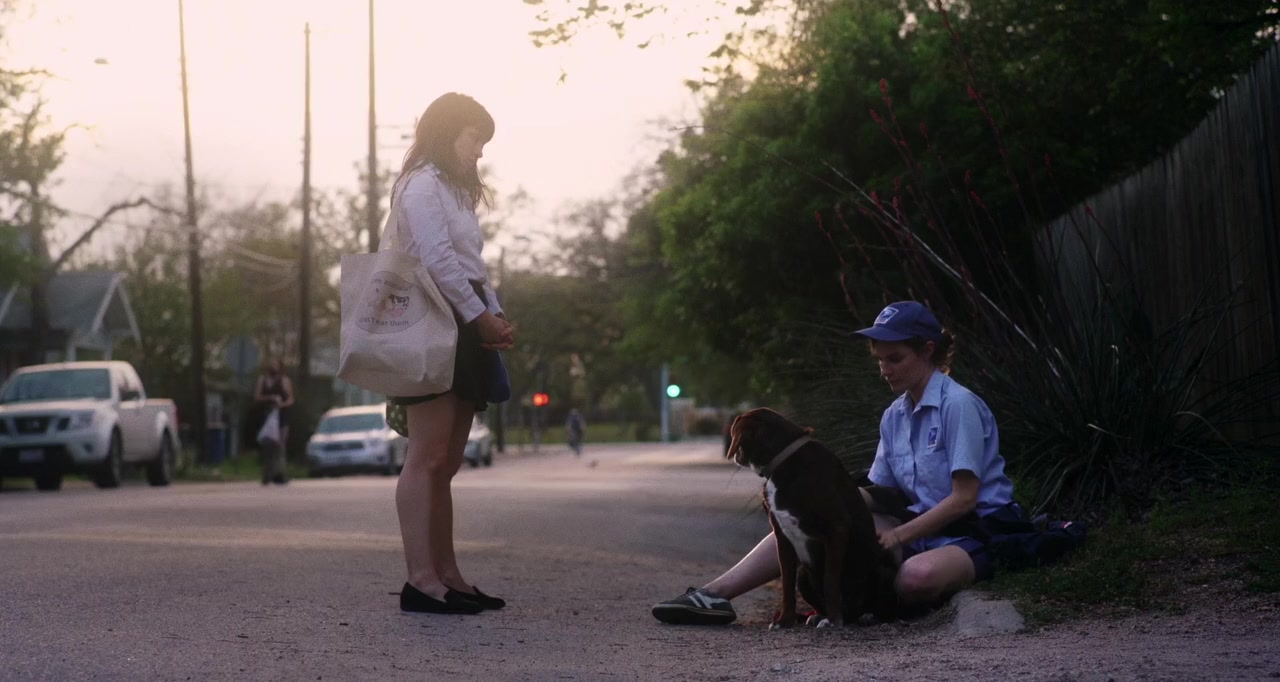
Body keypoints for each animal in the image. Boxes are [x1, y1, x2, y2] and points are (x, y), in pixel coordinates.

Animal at [727, 408, 900, 628]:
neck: (784, 460)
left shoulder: (837, 528)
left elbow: (830, 581)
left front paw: (834, 620)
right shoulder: (782, 537)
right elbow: (787, 584)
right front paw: (785, 620)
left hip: (884, 571)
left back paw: (866, 616)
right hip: (804, 574)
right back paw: (819, 615)